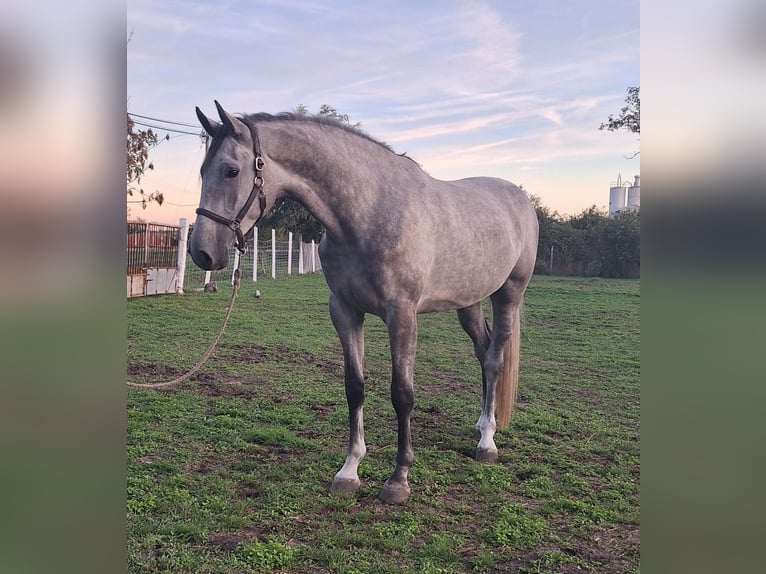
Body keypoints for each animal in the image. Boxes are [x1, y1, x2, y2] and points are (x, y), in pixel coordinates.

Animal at [190, 102, 540, 504]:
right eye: (203, 171)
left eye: (231, 170)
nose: (202, 252)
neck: (368, 213)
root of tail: (519, 197)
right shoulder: (344, 311)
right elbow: (354, 387)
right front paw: (349, 470)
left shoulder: (402, 315)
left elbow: (402, 394)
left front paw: (399, 478)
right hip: (469, 301)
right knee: (483, 353)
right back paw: (482, 424)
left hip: (508, 296)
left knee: (495, 359)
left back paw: (487, 443)